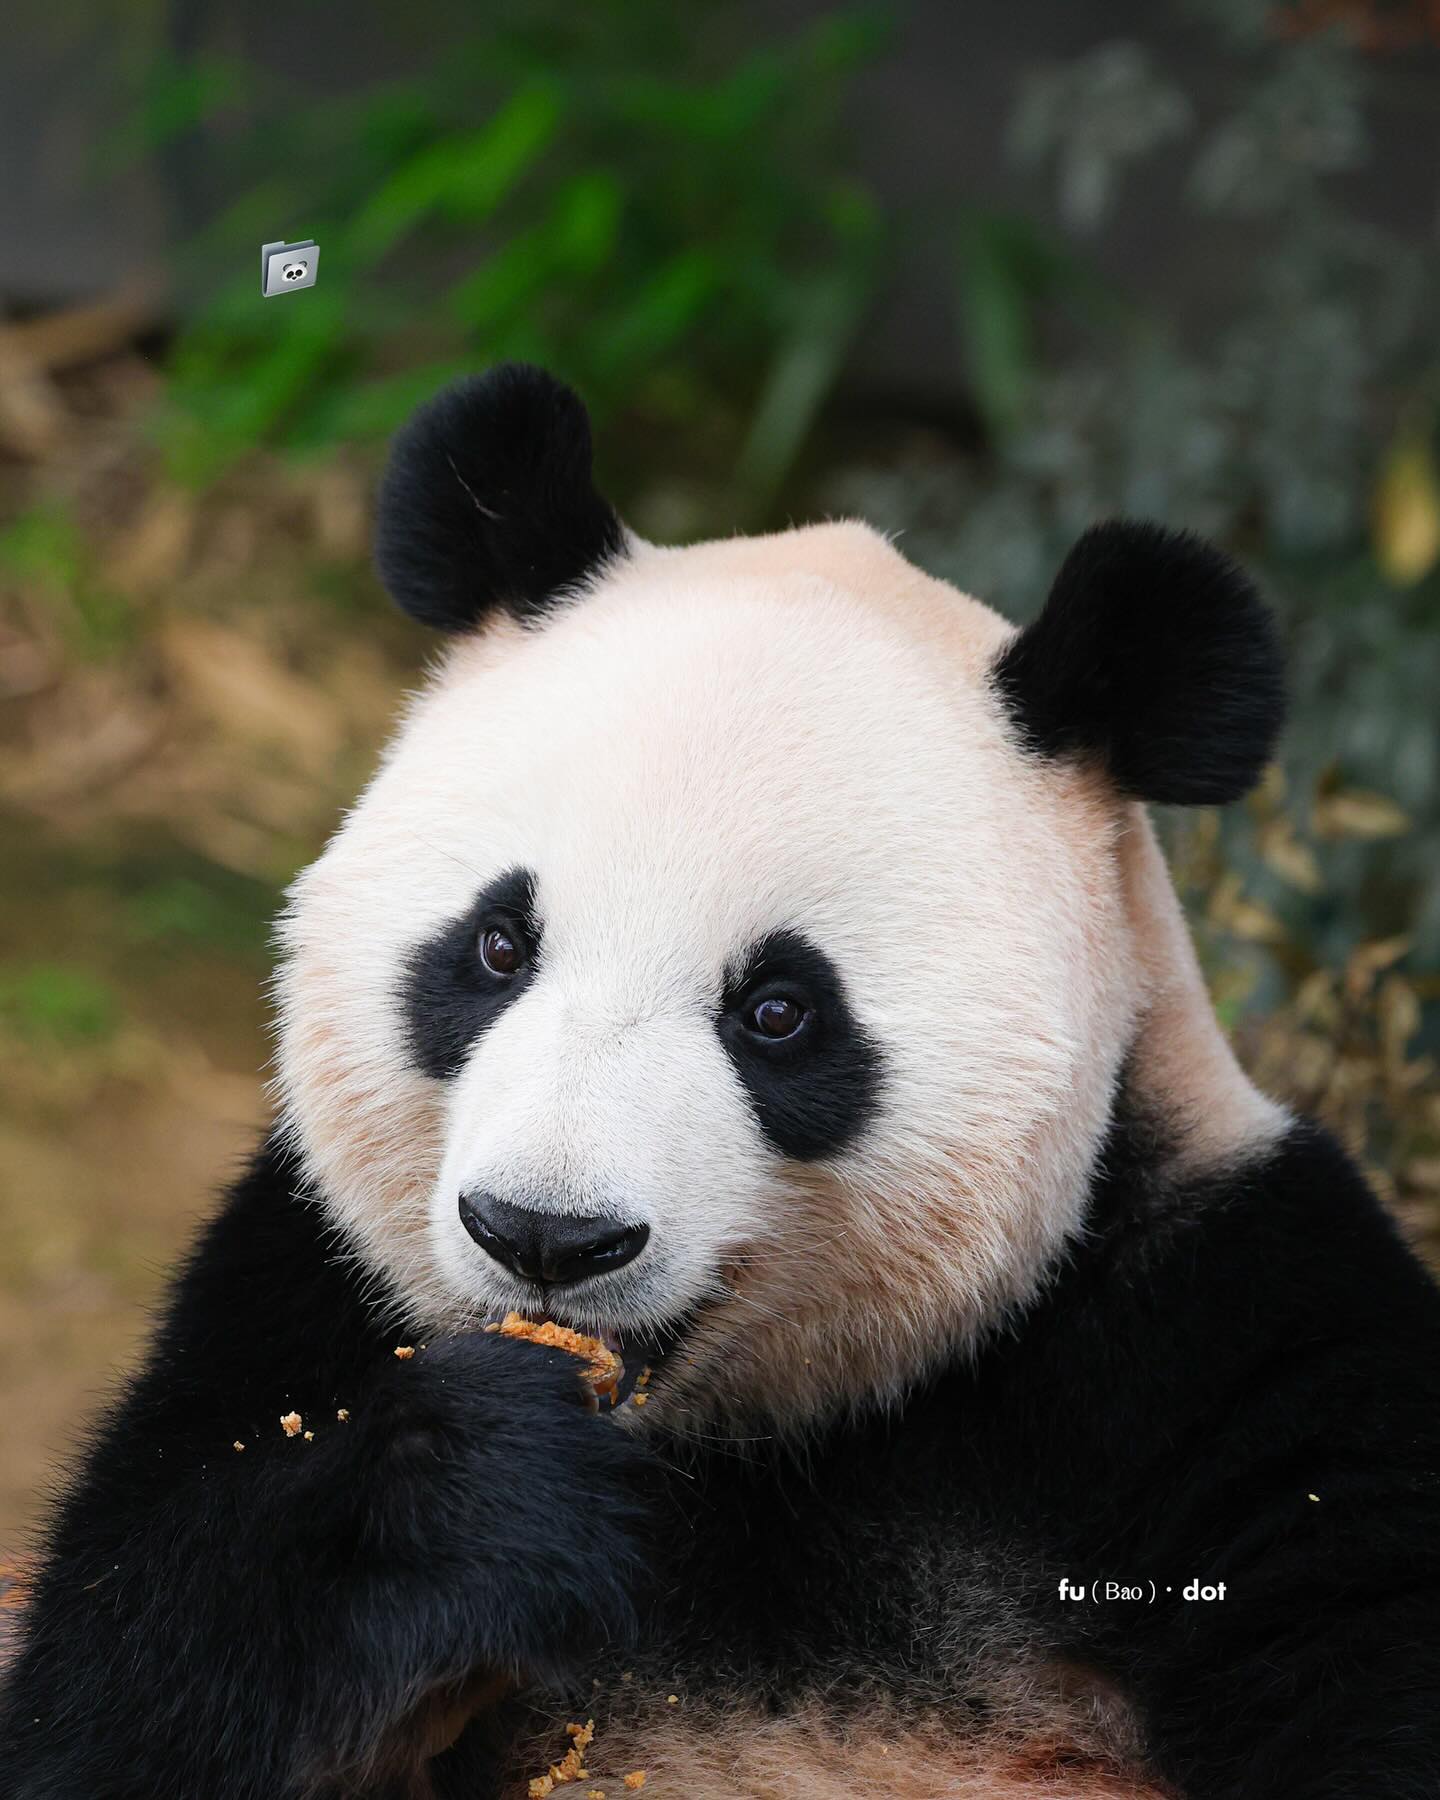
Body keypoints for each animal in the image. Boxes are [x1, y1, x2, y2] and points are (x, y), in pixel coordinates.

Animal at [2, 358, 1440, 1792]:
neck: (737, 1446)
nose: (545, 1236)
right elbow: (117, 1681)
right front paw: (488, 1496)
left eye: (779, 1012)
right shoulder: (298, 1289)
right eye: (498, 945)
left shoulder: (1227, 1334)